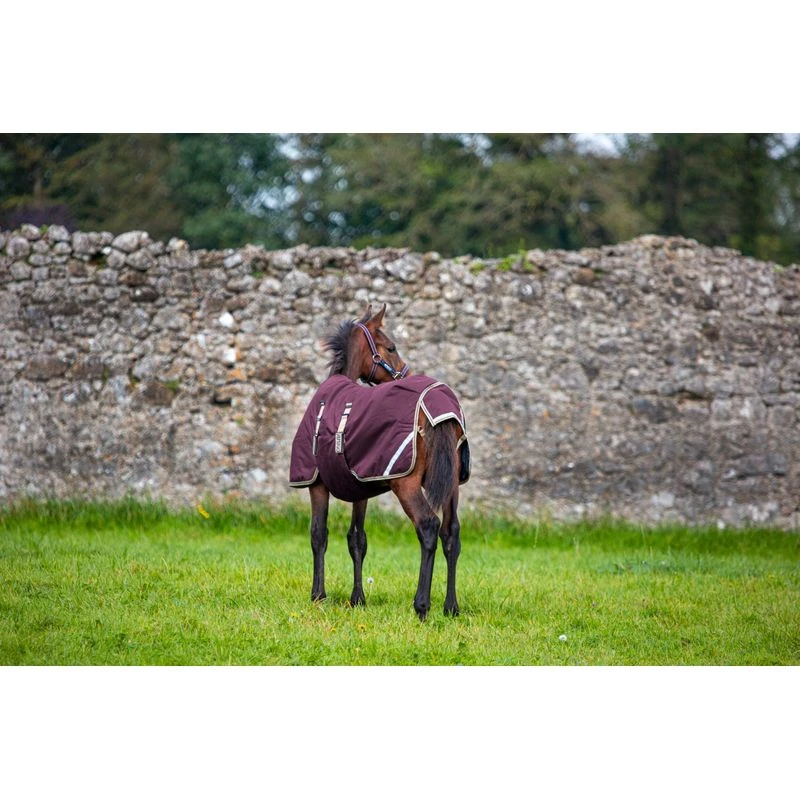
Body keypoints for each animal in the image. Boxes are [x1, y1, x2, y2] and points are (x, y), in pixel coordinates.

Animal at [289, 304, 470, 620]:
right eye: (391, 347)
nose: (405, 373)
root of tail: (439, 411)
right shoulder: (360, 487)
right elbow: (357, 539)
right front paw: (357, 598)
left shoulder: (316, 484)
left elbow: (318, 534)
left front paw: (318, 595)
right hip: (451, 486)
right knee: (451, 534)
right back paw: (451, 607)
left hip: (406, 485)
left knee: (428, 527)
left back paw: (422, 606)